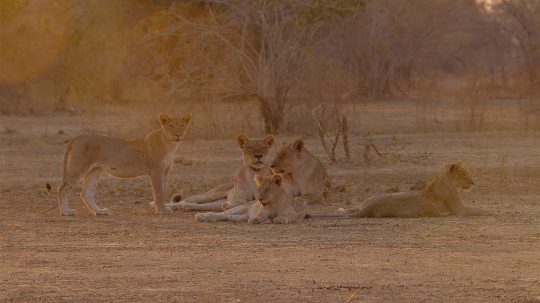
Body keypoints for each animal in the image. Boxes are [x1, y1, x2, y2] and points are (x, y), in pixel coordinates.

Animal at [47, 113, 193, 216]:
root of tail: (77, 137)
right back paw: (66, 212)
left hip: (95, 170)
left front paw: (164, 207)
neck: (170, 145)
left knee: (86, 193)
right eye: (171, 126)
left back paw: (100, 211)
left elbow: (164, 190)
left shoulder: (165, 172)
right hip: (79, 167)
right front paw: (162, 210)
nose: (178, 134)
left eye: (181, 125)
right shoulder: (155, 171)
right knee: (62, 188)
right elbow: (159, 192)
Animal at [340, 164, 496, 218]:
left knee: (353, 207)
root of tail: (368, 207)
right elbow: (478, 209)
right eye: (464, 174)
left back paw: (343, 209)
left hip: (369, 199)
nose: (473, 182)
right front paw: (494, 211)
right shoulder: (460, 210)